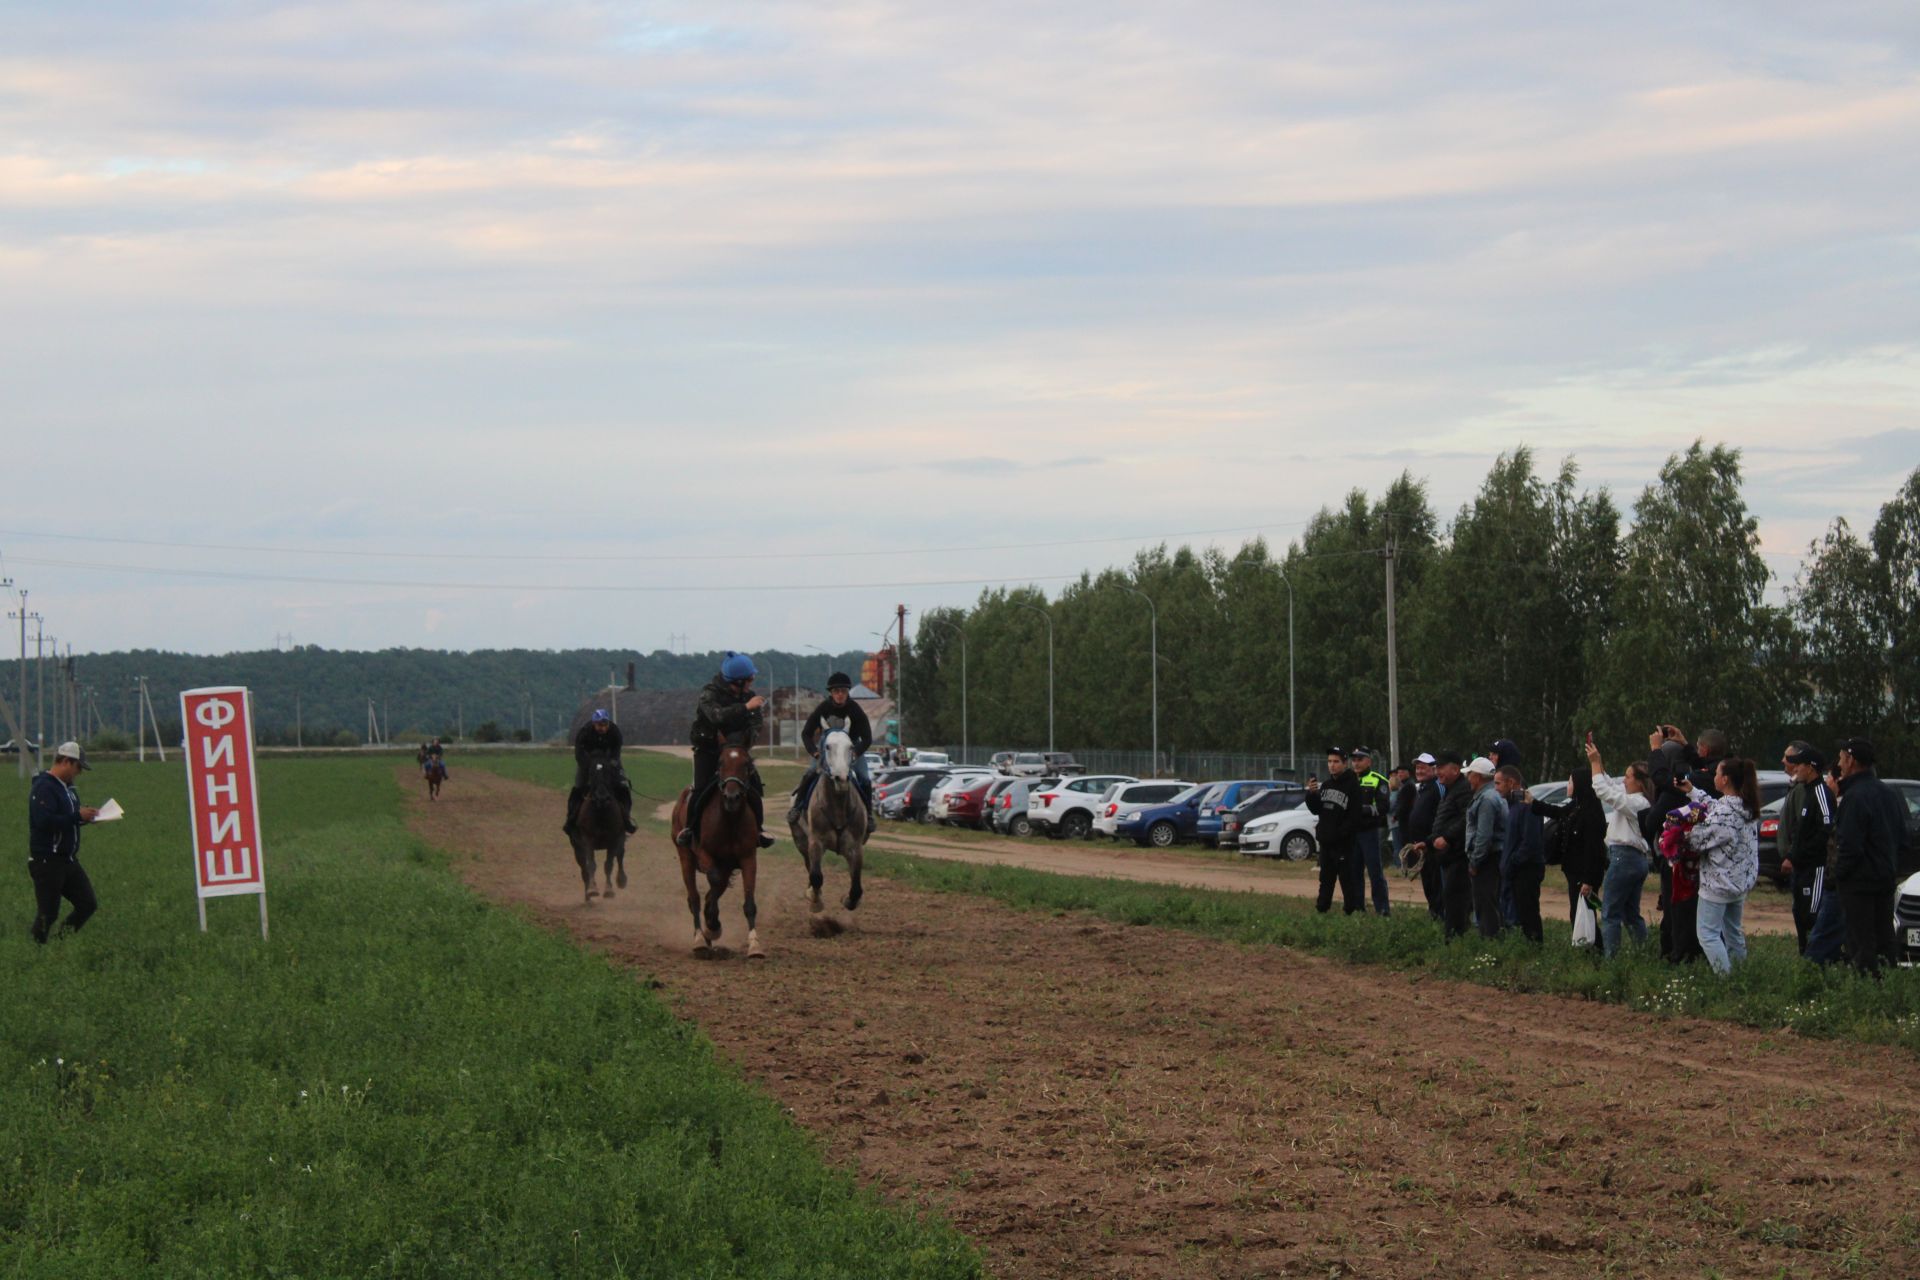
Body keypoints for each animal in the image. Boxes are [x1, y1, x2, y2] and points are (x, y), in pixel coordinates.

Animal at [568, 756, 629, 905]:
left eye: (608, 772)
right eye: (591, 774)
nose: (601, 798)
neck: (601, 813)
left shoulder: (614, 840)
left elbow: (608, 865)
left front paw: (609, 890)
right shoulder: (587, 841)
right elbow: (591, 865)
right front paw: (592, 890)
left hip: (620, 840)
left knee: (620, 855)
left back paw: (621, 880)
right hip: (577, 849)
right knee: (584, 870)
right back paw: (588, 896)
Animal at [672, 740, 768, 959]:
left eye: (746, 764)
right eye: (720, 763)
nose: (732, 797)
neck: (729, 820)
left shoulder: (748, 858)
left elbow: (749, 903)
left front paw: (755, 945)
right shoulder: (704, 854)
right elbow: (713, 882)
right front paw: (712, 925)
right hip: (685, 857)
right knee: (694, 898)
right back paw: (700, 938)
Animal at [783, 725, 867, 917]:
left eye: (851, 746)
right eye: (827, 746)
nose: (841, 778)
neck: (837, 806)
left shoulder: (854, 847)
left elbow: (856, 887)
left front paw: (848, 900)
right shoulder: (816, 842)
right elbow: (816, 876)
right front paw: (816, 902)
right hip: (801, 840)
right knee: (809, 866)